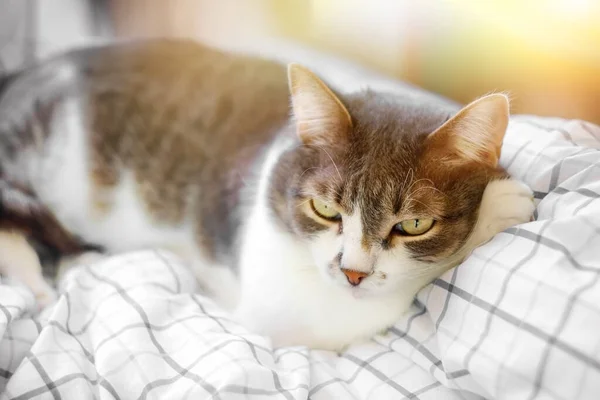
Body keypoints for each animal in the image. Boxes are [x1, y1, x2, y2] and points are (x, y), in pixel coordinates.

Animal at [0, 38, 536, 350]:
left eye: (413, 225)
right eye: (325, 209)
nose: (353, 273)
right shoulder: (281, 304)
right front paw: (499, 204)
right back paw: (43, 282)